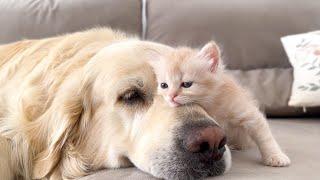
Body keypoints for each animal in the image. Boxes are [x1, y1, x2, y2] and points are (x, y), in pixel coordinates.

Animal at [149, 42, 292, 167]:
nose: (171, 97)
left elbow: (264, 137)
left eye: (187, 84)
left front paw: (275, 156)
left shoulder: (248, 113)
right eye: (164, 85)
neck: (210, 104)